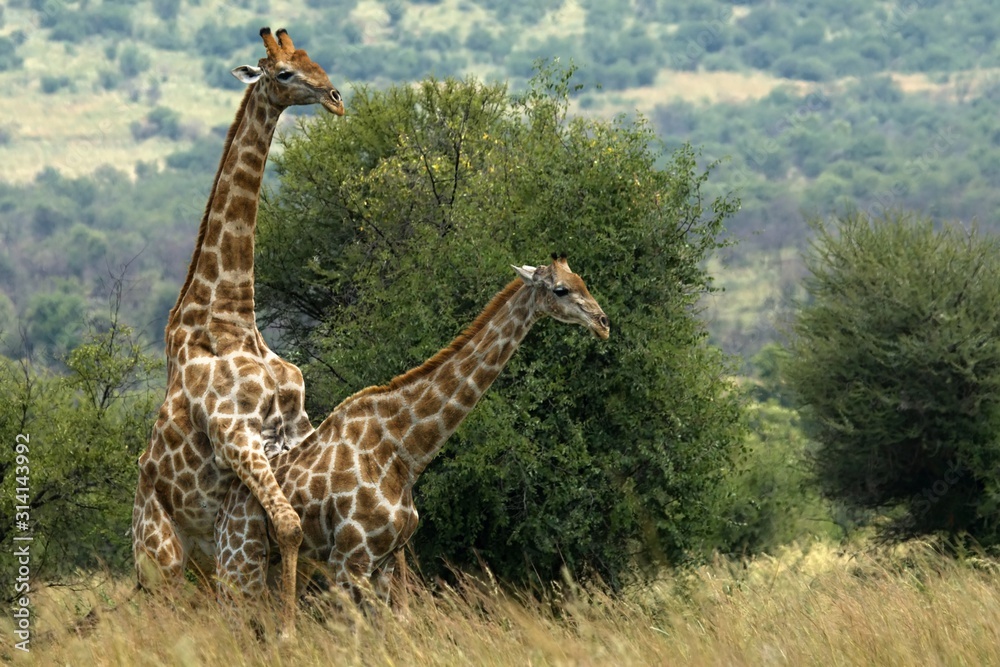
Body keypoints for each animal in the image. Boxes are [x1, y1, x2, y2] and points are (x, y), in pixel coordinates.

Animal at [131, 27, 343, 635]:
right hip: (161, 557)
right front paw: (291, 631)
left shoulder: (292, 430)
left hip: (204, 559)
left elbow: (297, 528)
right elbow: (290, 526)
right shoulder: (236, 434)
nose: (336, 98)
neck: (230, 314)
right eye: (285, 74)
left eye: (314, 60)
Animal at [214, 255, 609, 629]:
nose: (603, 323)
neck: (405, 451)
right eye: (560, 290)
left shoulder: (385, 559)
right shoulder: (349, 558)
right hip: (240, 559)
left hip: (267, 565)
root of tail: (224, 506)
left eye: (583, 281)